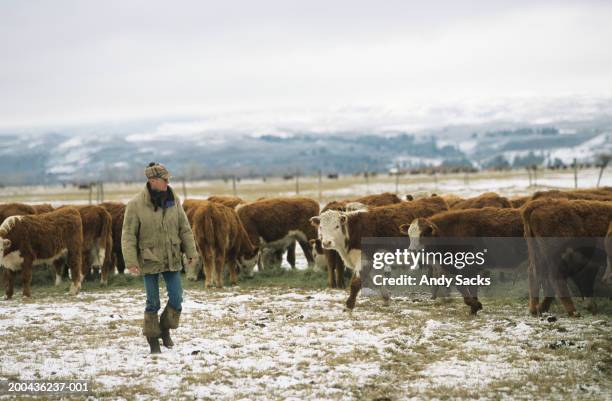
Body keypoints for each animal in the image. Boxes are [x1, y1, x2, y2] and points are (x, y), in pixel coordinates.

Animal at [310, 197, 450, 310]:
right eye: (321, 227)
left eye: (337, 226)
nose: (326, 242)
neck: (356, 230)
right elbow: (378, 279)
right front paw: (386, 299)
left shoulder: (364, 259)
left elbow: (355, 283)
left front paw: (349, 306)